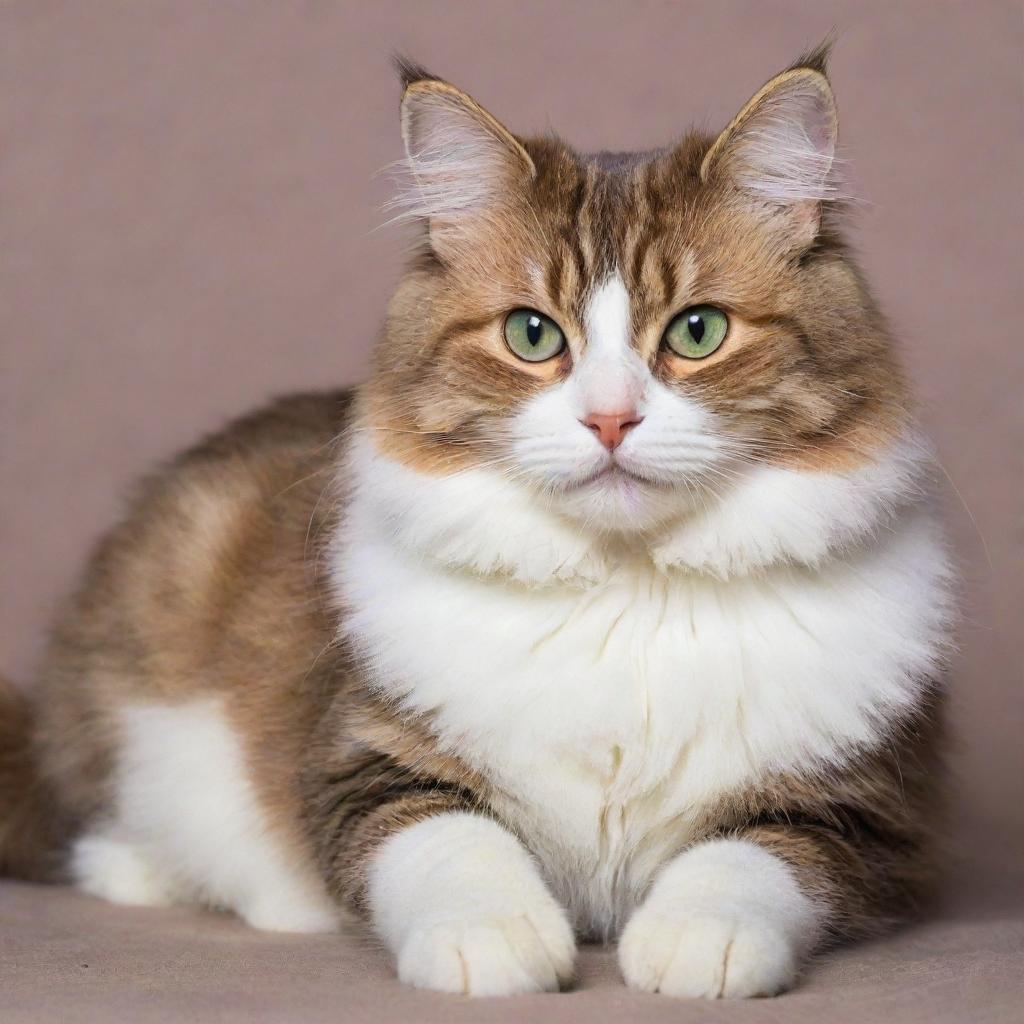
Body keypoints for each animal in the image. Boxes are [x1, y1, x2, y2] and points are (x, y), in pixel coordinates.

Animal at [4, 48, 954, 999]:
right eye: (533, 336)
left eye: (698, 331)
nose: (610, 420)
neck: (627, 588)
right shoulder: (368, 759)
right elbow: (453, 845)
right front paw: (491, 941)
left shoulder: (858, 804)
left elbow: (747, 860)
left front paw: (696, 941)